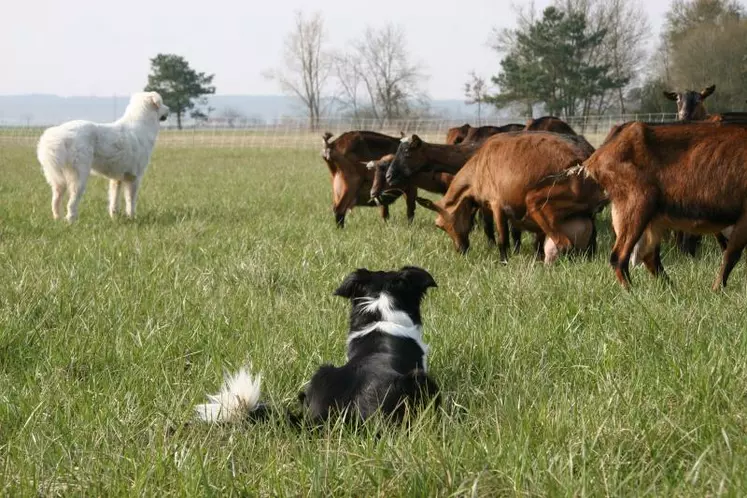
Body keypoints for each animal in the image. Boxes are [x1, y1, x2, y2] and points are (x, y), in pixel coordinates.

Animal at [36, 91, 169, 220]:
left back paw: (57, 219)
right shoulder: (134, 178)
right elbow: (131, 201)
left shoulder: (117, 178)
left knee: (55, 201)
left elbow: (114, 201)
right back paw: (72, 221)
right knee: (71, 204)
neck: (142, 124)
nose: (169, 109)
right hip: (79, 177)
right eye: (162, 103)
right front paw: (132, 218)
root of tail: (60, 134)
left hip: (57, 179)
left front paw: (115, 218)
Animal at [406, 130, 604, 262]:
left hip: (537, 203)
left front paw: (504, 261)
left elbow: (503, 239)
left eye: (439, 225)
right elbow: (519, 236)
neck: (478, 167)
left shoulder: (497, 205)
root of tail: (586, 156)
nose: (461, 250)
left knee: (564, 244)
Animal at [580, 120, 747, 290]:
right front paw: (717, 290)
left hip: (650, 218)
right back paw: (632, 291)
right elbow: (731, 255)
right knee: (619, 257)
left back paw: (672, 289)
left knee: (649, 257)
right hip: (638, 204)